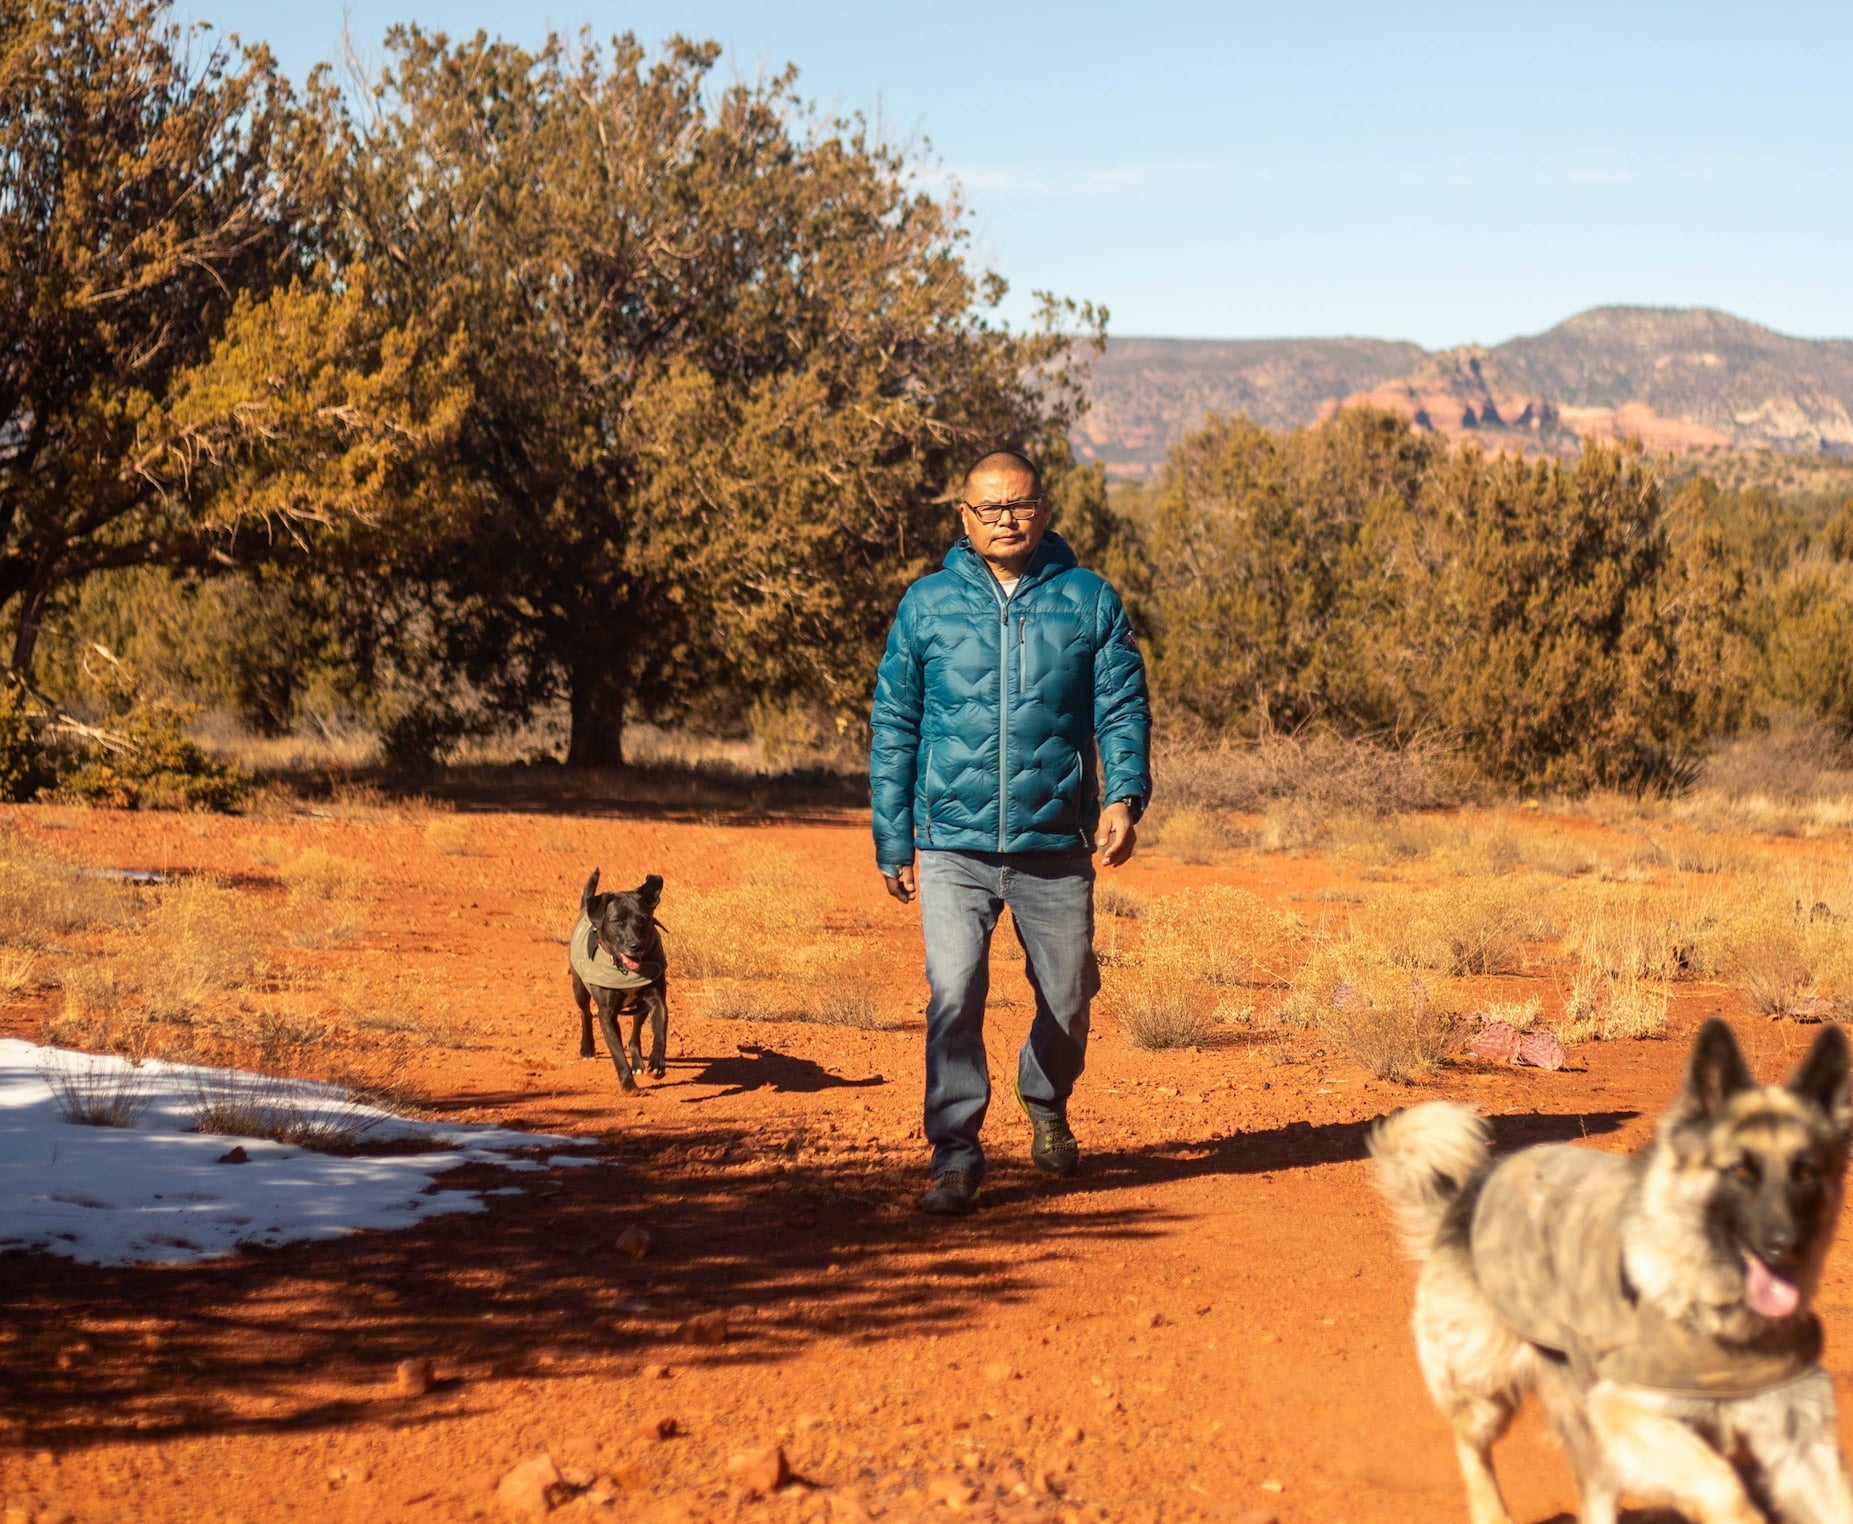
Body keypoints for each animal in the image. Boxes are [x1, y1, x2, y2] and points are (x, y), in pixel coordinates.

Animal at [574, 871, 678, 1097]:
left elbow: (660, 1033)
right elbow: (617, 1054)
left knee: (634, 1035)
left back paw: (638, 1063)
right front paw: (628, 1085)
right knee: (585, 1013)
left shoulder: (657, 1001)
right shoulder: (607, 1014)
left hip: (640, 1007)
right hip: (579, 990)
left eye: (643, 919)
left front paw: (657, 1064)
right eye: (617, 921)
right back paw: (587, 1048)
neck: (626, 970)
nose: (635, 946)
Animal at [1371, 1016, 1853, 1524]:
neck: (1718, 1314)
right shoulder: (1626, 1410)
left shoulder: (1799, 1437)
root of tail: (1467, 1195)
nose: (1786, 1246)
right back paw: (1490, 1513)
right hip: (1487, 1387)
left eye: (1806, 1172)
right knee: (1471, 1446)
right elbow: (1722, 1481)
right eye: (1740, 1171)